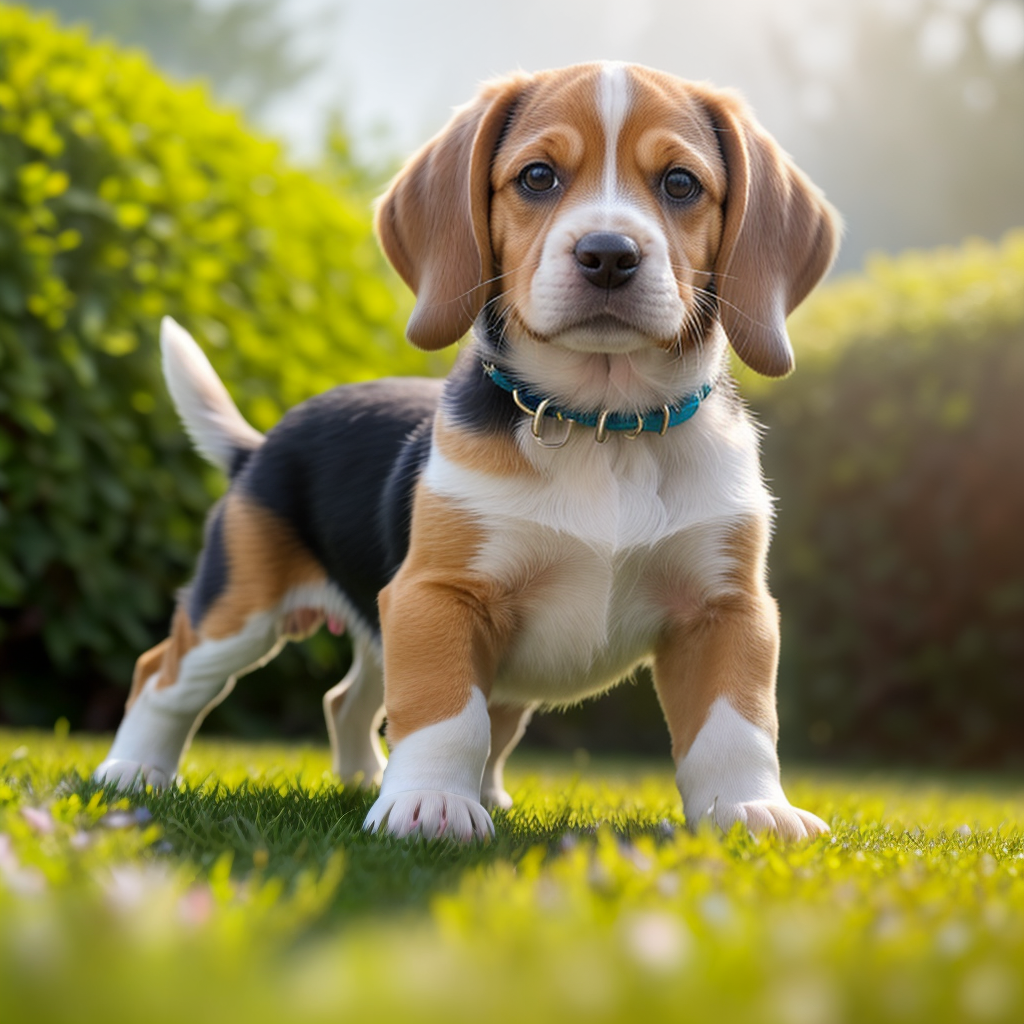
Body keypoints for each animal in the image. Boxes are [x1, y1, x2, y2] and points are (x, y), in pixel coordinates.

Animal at [96, 66, 839, 847]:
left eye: (680, 184)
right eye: (538, 176)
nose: (608, 254)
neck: (606, 426)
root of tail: (260, 446)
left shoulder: (728, 608)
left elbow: (736, 725)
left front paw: (750, 811)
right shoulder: (434, 596)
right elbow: (444, 712)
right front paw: (429, 805)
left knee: (349, 699)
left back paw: (370, 779)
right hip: (240, 607)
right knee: (164, 673)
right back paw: (131, 771)